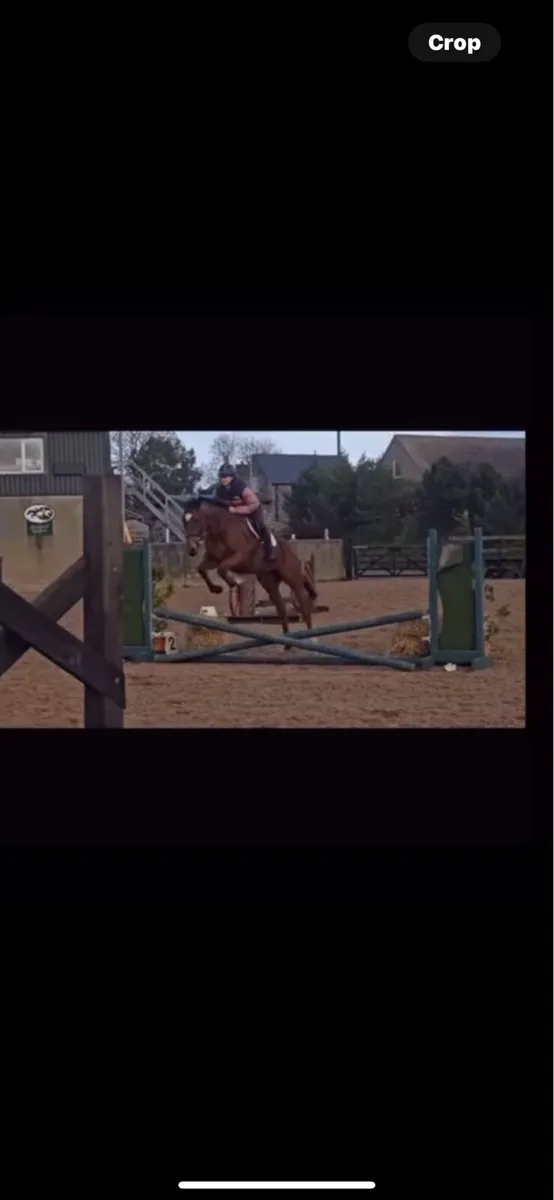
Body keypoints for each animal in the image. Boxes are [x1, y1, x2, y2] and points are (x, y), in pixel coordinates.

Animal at [182, 497, 318, 639]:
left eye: (196, 519)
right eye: (183, 521)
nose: (191, 549)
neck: (220, 529)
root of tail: (291, 551)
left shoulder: (239, 557)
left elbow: (222, 569)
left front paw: (233, 583)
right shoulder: (213, 560)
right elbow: (201, 569)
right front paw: (216, 589)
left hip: (291, 577)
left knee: (303, 603)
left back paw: (310, 635)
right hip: (269, 581)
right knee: (281, 606)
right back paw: (287, 639)